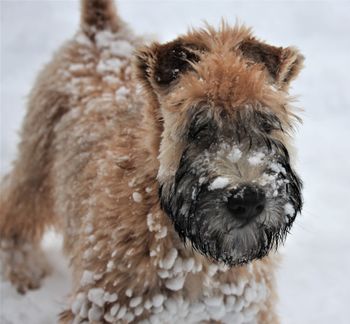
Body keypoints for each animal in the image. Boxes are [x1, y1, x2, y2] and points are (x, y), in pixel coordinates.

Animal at [0, 1, 304, 322]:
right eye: (197, 128)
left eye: (266, 123)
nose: (247, 200)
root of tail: (100, 31)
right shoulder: (103, 307)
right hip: (36, 165)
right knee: (14, 211)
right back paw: (23, 269)